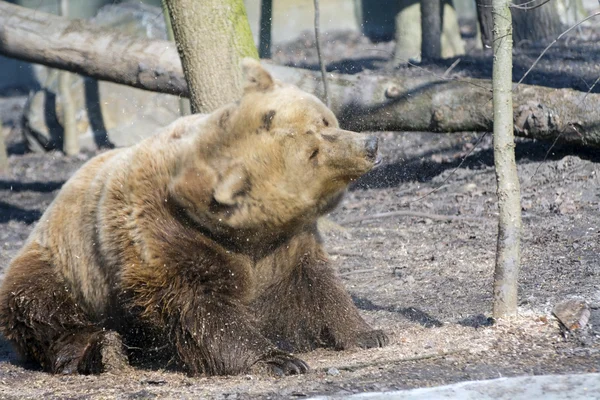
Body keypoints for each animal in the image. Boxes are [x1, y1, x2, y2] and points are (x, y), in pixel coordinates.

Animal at [0, 58, 386, 376]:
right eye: (312, 153)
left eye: (324, 121)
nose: (370, 145)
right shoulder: (168, 235)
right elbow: (199, 308)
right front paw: (279, 360)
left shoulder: (287, 243)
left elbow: (315, 285)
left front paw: (367, 333)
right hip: (65, 267)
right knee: (47, 315)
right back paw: (104, 351)